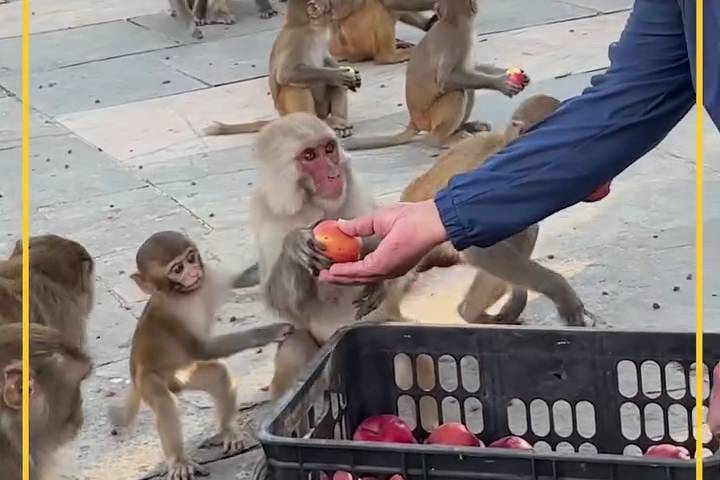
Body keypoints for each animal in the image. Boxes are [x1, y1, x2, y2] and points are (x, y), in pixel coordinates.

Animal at [105, 232, 292, 480]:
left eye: (191, 257)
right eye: (177, 268)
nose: (193, 272)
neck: (187, 294)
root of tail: (134, 366)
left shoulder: (210, 277)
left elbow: (243, 279)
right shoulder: (172, 319)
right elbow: (202, 348)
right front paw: (271, 331)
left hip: (184, 374)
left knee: (219, 377)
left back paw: (227, 432)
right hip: (149, 378)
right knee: (164, 402)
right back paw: (179, 461)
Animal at [202, 0, 362, 139]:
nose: (336, 6)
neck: (312, 27)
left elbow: (327, 59)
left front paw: (351, 76)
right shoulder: (297, 39)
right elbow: (287, 73)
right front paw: (339, 75)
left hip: (321, 109)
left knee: (335, 86)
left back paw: (338, 121)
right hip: (290, 111)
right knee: (295, 86)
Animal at [344, 0, 536, 151]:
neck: (452, 21)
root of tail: (414, 121)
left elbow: (471, 68)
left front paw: (510, 74)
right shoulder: (459, 39)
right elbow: (446, 80)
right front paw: (502, 84)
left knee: (468, 88)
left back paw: (464, 127)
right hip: (430, 119)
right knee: (457, 93)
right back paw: (441, 140)